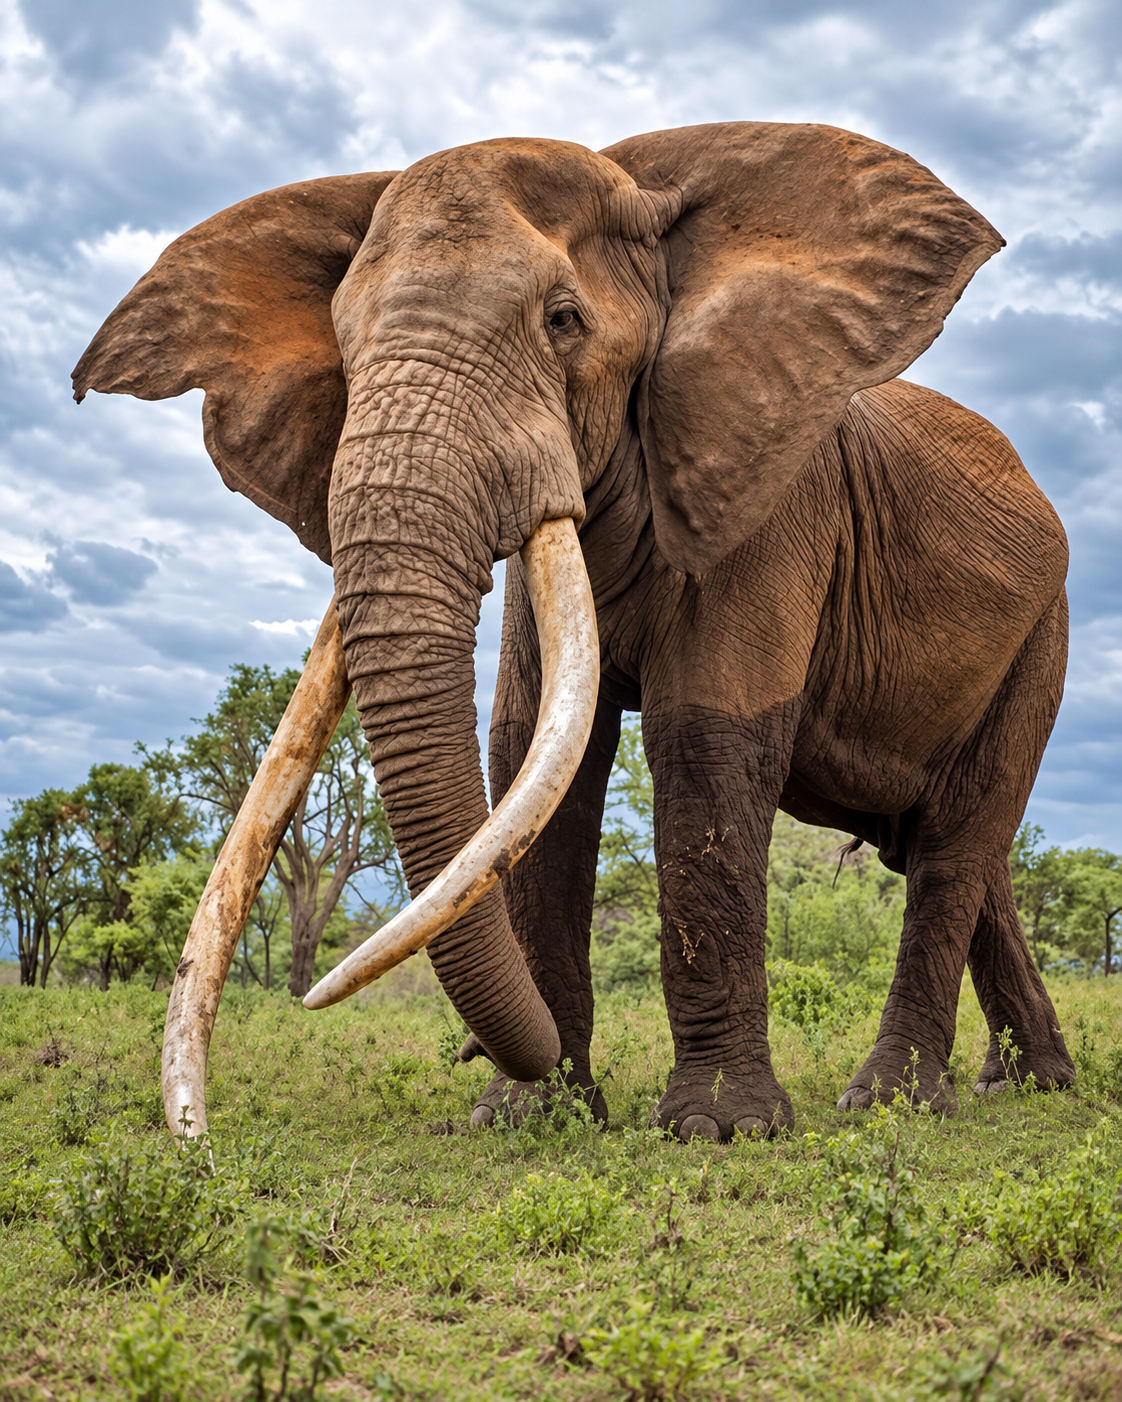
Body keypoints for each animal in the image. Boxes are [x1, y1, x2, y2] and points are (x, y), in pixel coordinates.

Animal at [74, 121, 1076, 1144]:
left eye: (564, 322)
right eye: (344, 345)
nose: (194, 1136)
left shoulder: (772, 501)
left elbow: (702, 740)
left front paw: (720, 1131)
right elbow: (533, 746)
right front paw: (530, 1117)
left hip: (1045, 632)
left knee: (955, 841)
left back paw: (897, 1101)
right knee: (955, 848)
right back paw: (1027, 1083)